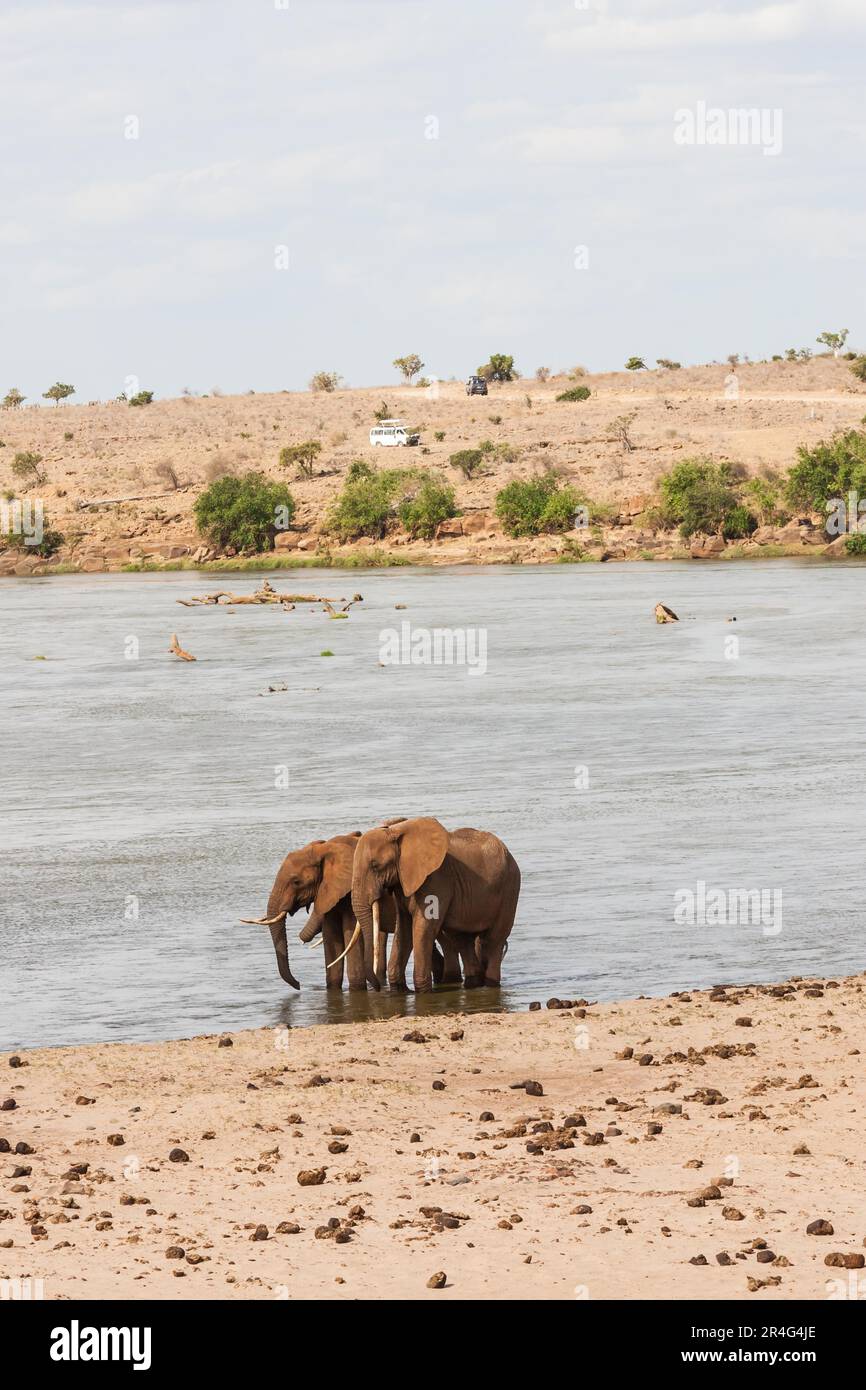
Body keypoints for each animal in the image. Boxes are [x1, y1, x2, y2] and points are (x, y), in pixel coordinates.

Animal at [347, 817, 522, 995]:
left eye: (375, 865)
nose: (377, 989)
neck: (395, 833)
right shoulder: (403, 881)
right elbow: (403, 928)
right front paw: (400, 991)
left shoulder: (435, 880)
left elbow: (422, 928)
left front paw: (421, 992)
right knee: (462, 940)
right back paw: (473, 984)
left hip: (510, 888)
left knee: (493, 940)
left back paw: (490, 984)